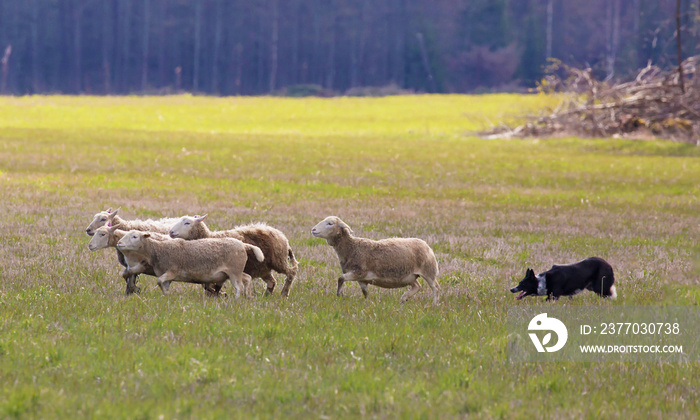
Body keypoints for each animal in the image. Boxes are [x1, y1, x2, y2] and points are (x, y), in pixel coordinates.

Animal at [117, 228, 266, 296]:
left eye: (134, 236)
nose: (119, 243)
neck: (158, 250)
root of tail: (243, 245)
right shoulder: (168, 275)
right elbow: (163, 284)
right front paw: (166, 296)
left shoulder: (173, 271)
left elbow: (159, 281)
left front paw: (166, 295)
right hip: (235, 271)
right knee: (247, 278)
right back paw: (248, 296)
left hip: (234, 271)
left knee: (239, 286)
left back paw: (237, 299)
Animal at [310, 217, 438, 302]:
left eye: (330, 223)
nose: (313, 230)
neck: (351, 247)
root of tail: (426, 245)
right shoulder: (361, 279)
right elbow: (365, 293)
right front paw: (367, 303)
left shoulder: (359, 272)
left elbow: (340, 278)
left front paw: (339, 294)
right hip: (409, 276)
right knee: (417, 286)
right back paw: (404, 298)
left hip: (428, 271)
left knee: (435, 288)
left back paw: (434, 304)